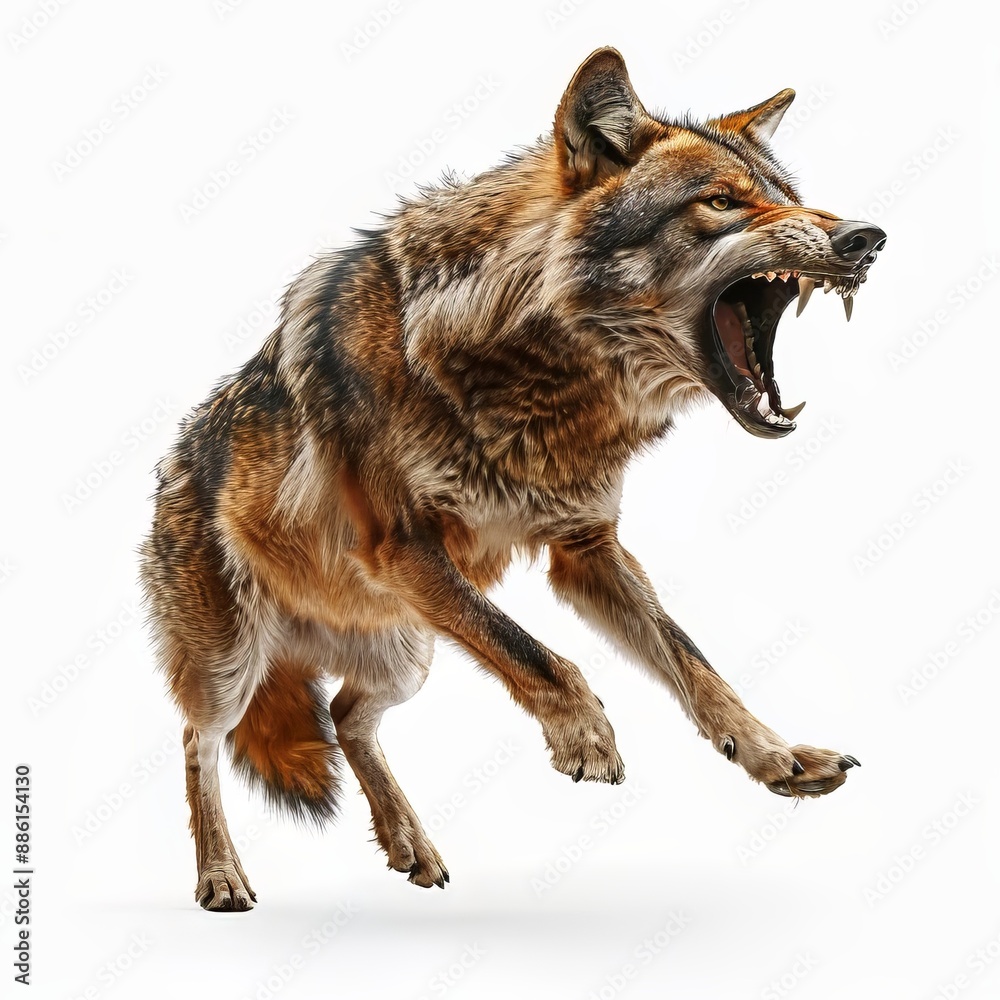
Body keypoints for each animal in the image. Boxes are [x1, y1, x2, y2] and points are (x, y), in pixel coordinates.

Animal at [141, 47, 884, 910]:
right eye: (722, 202)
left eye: (790, 198)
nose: (868, 238)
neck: (535, 374)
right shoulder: (406, 547)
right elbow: (538, 654)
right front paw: (587, 736)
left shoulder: (587, 550)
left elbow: (693, 661)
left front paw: (776, 757)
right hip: (237, 666)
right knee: (199, 741)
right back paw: (222, 875)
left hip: (406, 656)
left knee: (346, 714)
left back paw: (409, 844)